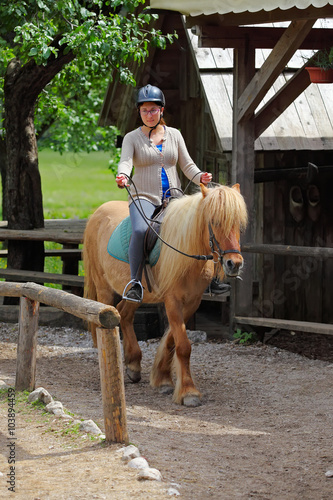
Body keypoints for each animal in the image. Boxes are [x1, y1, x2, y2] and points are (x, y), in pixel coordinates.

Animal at [83, 184, 246, 406]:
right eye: (214, 221)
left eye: (238, 224)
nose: (234, 264)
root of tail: (97, 213)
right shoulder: (172, 300)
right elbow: (183, 346)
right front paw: (188, 392)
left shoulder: (192, 302)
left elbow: (171, 342)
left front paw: (163, 379)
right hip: (104, 289)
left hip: (139, 294)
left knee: (125, 314)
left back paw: (133, 365)